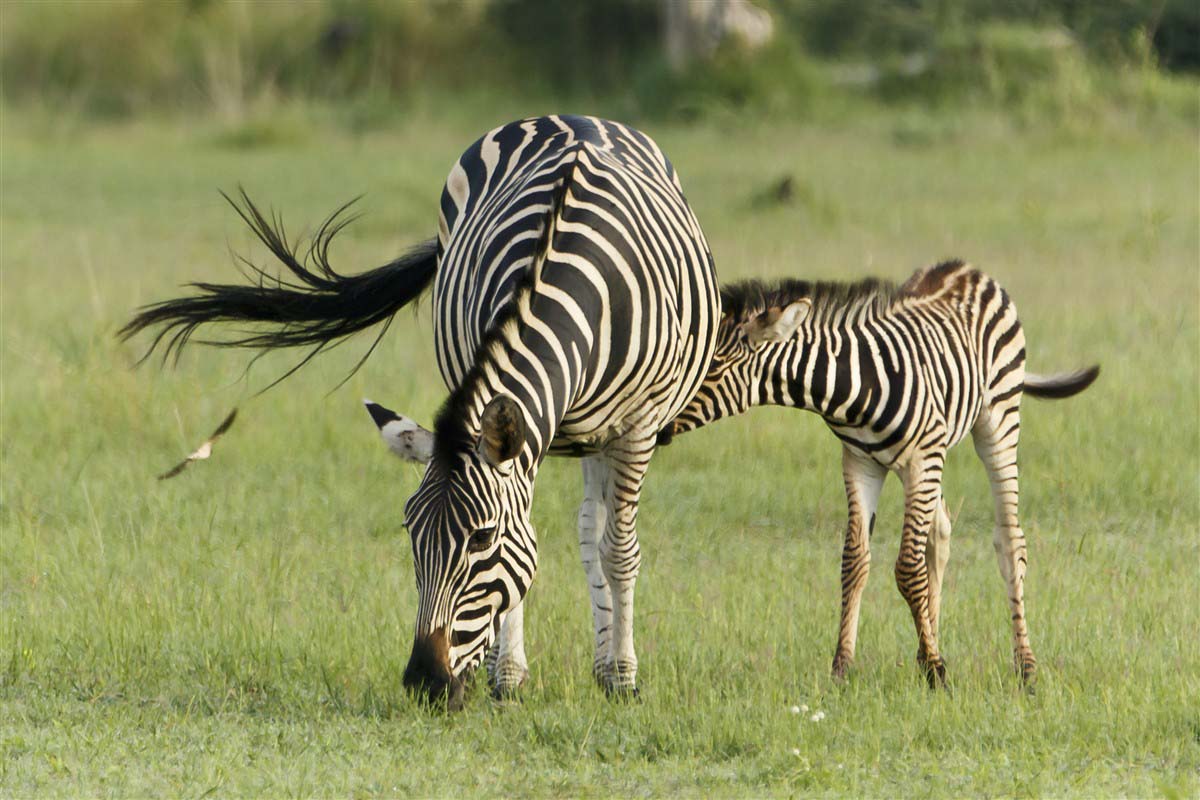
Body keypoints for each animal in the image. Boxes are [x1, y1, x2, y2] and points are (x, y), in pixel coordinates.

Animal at [121, 113, 720, 705]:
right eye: (409, 531)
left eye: (481, 539)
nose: (425, 682)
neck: (574, 282)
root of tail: (572, 116)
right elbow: (529, 542)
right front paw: (508, 677)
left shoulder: (638, 426)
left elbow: (617, 551)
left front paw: (622, 677)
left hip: (604, 433)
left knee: (596, 532)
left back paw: (606, 666)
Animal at [657, 260, 1099, 686]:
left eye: (713, 368)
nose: (657, 426)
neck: (852, 388)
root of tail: (969, 269)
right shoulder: (860, 462)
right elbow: (855, 561)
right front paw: (844, 667)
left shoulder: (920, 459)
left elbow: (906, 568)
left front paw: (936, 671)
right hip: (923, 459)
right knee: (939, 533)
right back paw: (929, 643)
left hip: (996, 420)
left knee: (1008, 540)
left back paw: (1025, 667)